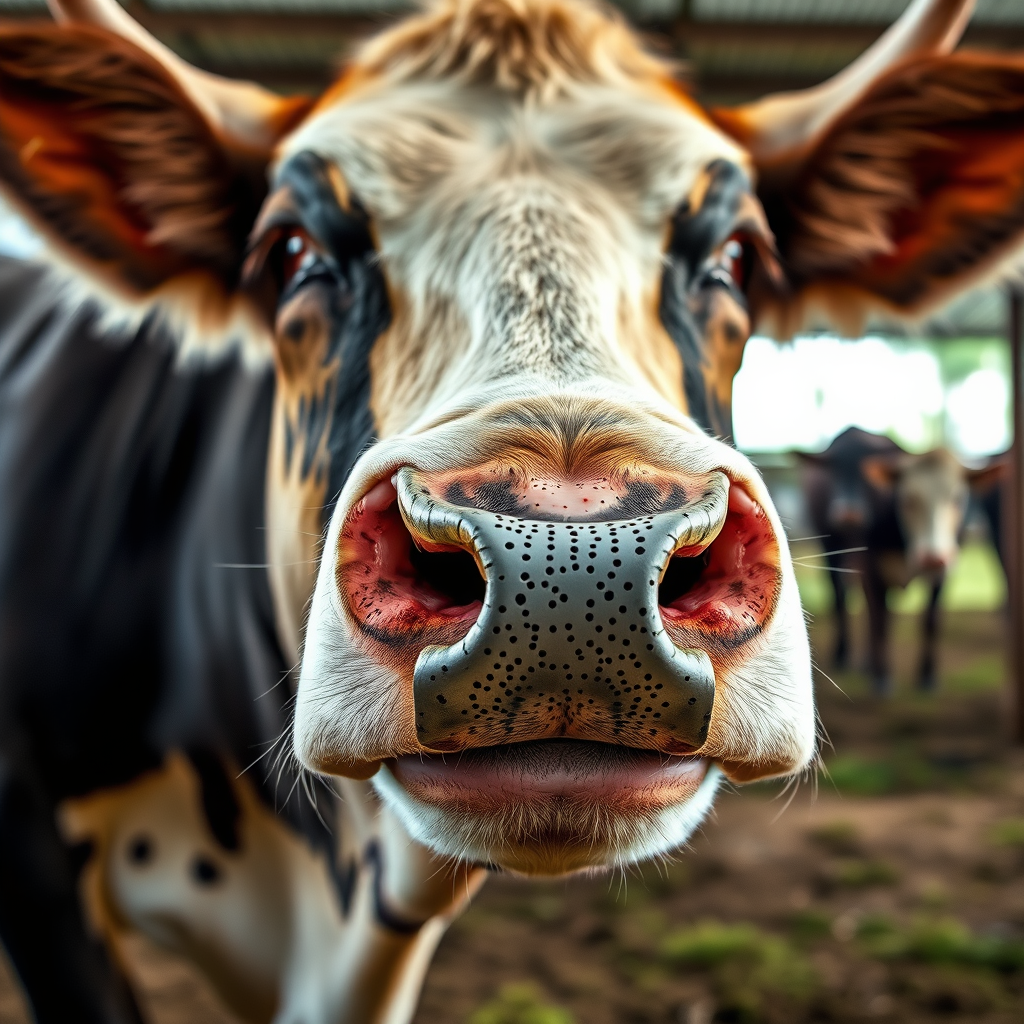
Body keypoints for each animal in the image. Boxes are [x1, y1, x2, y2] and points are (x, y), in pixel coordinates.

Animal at [798, 427, 1003, 694]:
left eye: (957, 498)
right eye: (907, 499)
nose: (932, 557)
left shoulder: (942, 575)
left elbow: (930, 621)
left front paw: (927, 676)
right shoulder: (870, 568)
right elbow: (880, 621)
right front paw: (882, 678)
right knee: (841, 597)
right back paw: (844, 655)